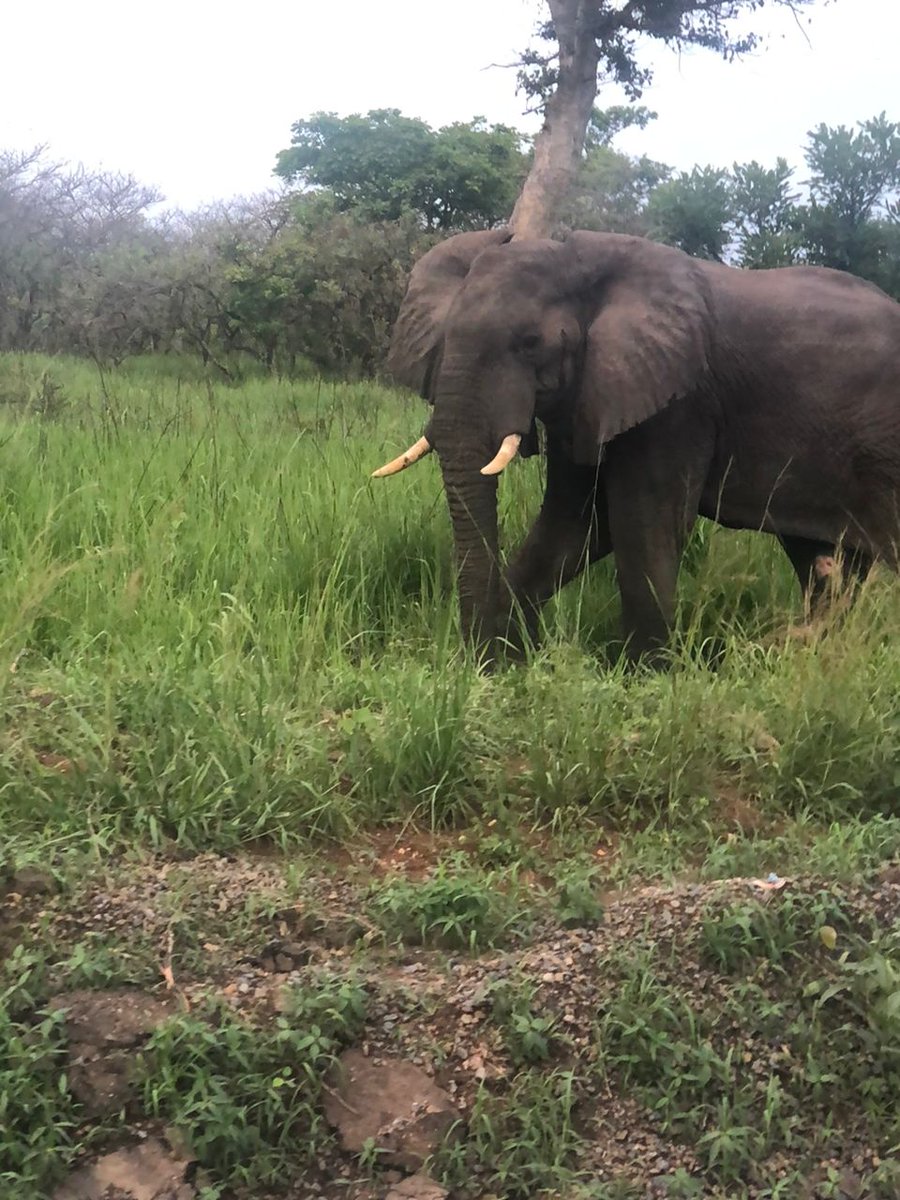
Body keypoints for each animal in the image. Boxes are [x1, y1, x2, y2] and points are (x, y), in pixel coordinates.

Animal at [373, 227, 898, 661]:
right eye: (444, 338)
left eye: (530, 343)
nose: (476, 662)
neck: (578, 261)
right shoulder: (590, 392)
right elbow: (577, 523)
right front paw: (511, 656)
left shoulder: (679, 402)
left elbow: (643, 522)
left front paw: (645, 675)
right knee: (826, 562)